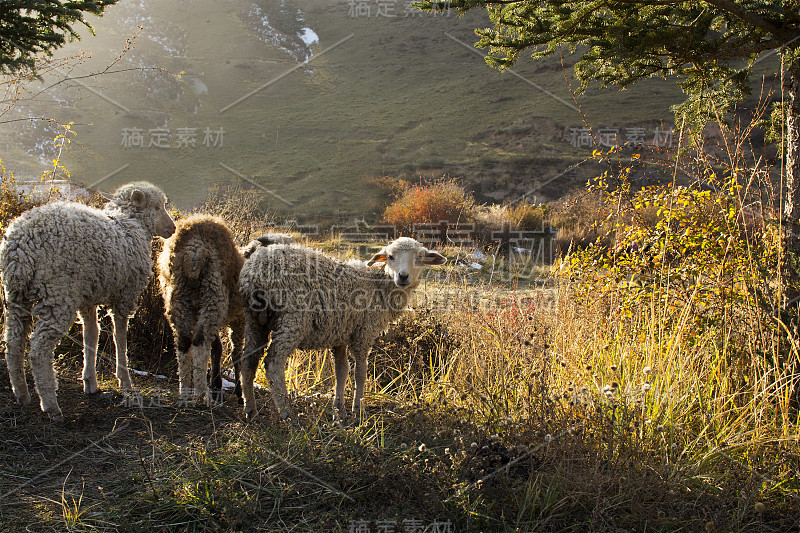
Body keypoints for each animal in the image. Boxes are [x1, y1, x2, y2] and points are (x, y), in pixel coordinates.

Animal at [0, 183, 175, 420]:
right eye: (157, 207)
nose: (173, 228)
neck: (130, 224)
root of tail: (20, 248)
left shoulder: (87, 296)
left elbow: (91, 334)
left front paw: (90, 382)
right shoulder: (124, 296)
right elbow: (120, 337)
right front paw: (125, 381)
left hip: (16, 295)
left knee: (13, 343)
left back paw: (21, 394)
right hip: (57, 294)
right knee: (38, 350)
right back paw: (51, 405)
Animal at [238, 238, 450, 420]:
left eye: (419, 258)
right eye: (390, 256)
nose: (403, 276)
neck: (378, 285)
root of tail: (256, 270)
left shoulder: (339, 333)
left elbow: (341, 371)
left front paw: (339, 410)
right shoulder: (364, 333)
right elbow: (360, 372)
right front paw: (358, 409)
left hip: (253, 320)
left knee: (248, 361)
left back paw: (251, 410)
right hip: (292, 319)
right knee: (273, 363)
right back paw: (287, 413)